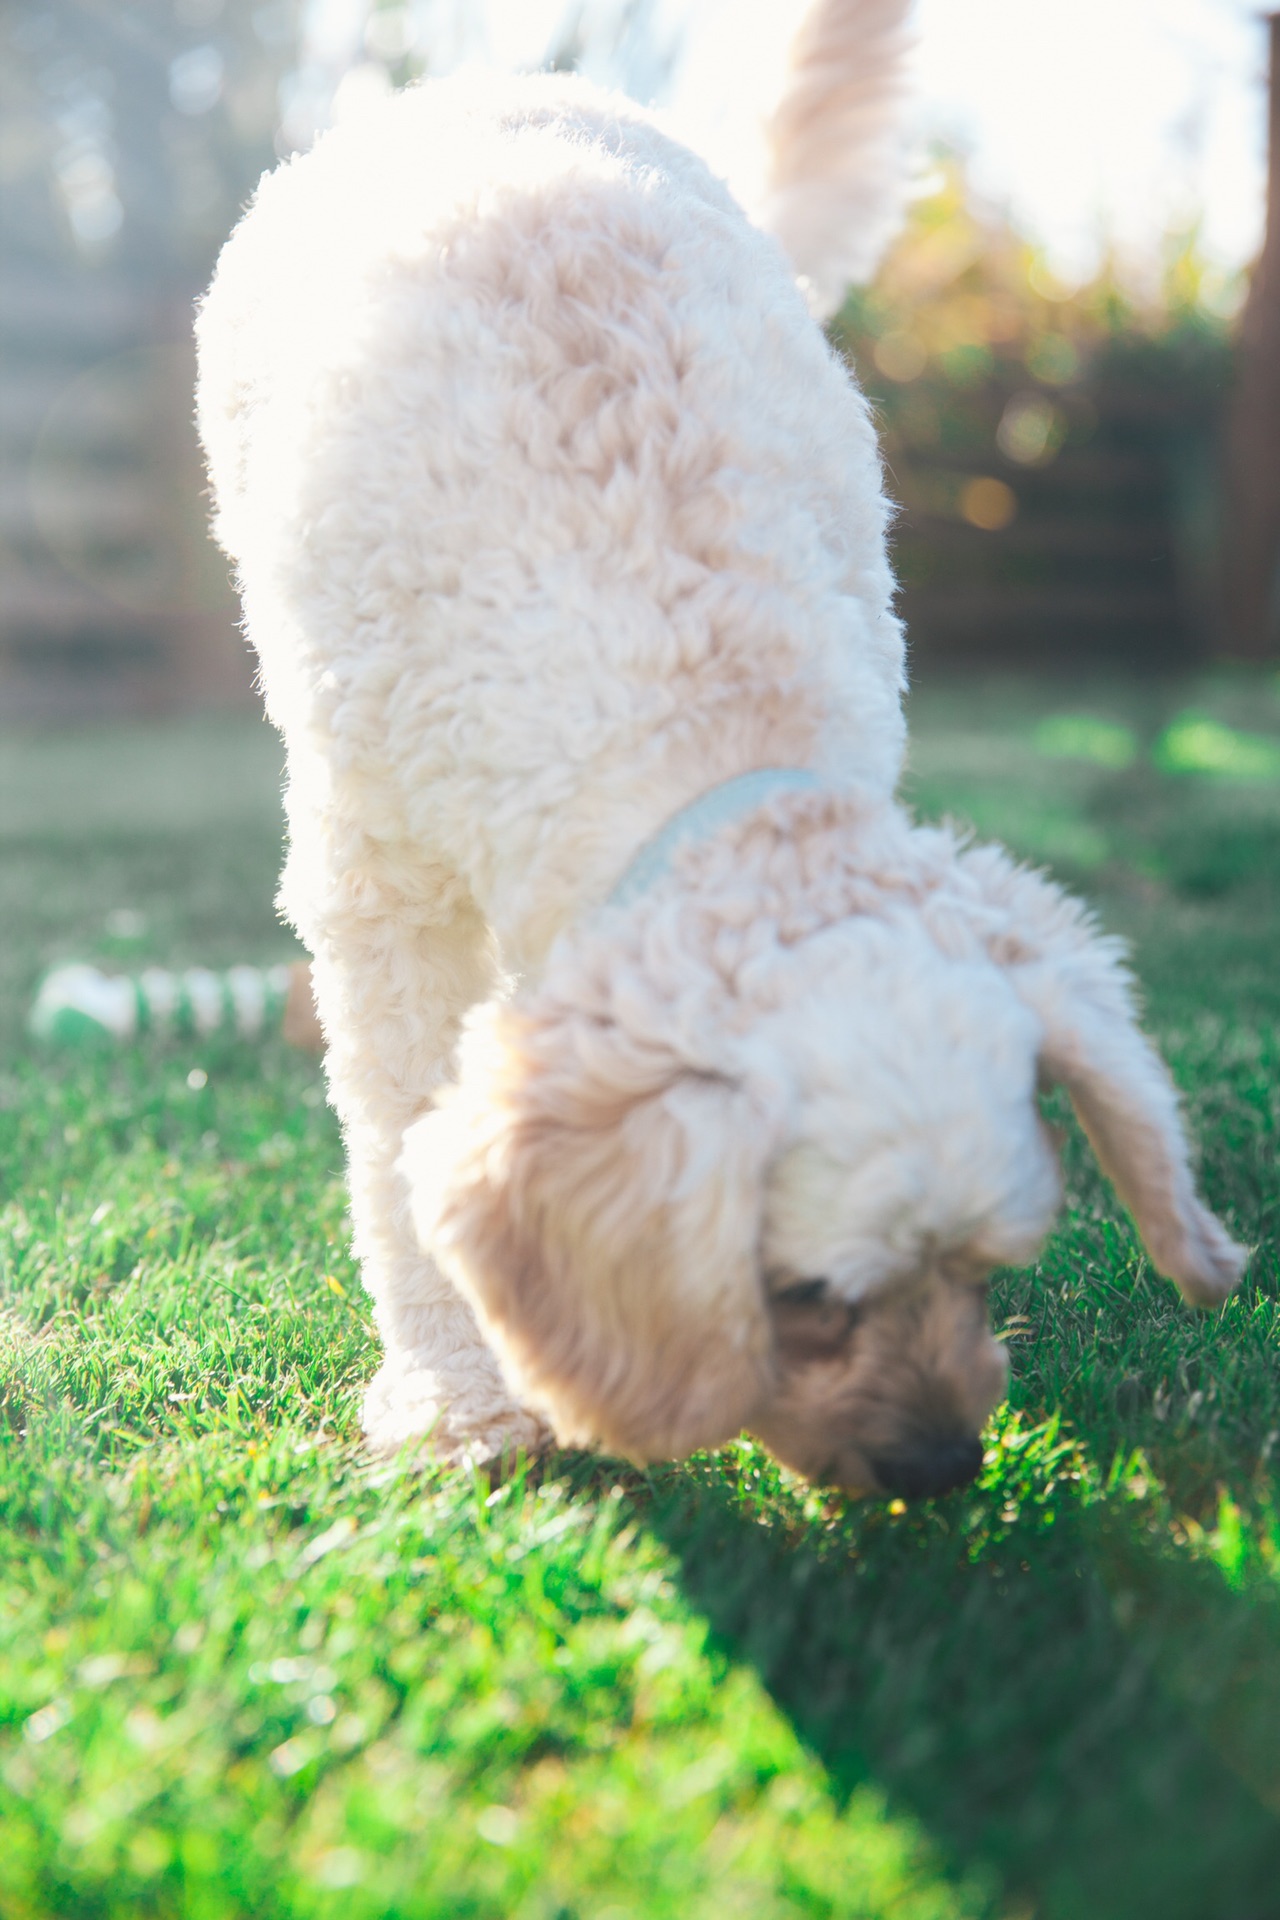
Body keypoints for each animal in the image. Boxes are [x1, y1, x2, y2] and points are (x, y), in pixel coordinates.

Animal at [195, 0, 1243, 1497]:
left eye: (990, 1267)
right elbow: (398, 1147)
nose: (938, 1467)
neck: (694, 695)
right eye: (802, 1296)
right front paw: (459, 1397)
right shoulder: (378, 885)